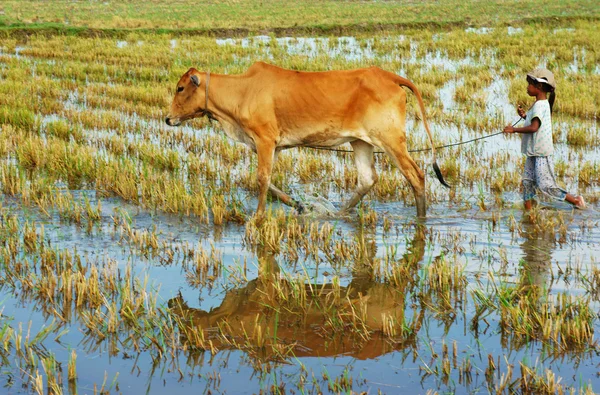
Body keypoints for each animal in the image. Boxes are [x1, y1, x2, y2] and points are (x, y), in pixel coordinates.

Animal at [164, 62, 446, 218]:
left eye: (180, 88)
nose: (167, 118)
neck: (243, 91)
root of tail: (389, 76)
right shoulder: (273, 146)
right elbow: (271, 183)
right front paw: (298, 205)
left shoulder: (265, 140)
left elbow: (262, 179)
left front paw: (258, 218)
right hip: (360, 141)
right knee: (367, 179)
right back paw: (339, 213)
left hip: (390, 140)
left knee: (416, 176)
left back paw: (421, 220)